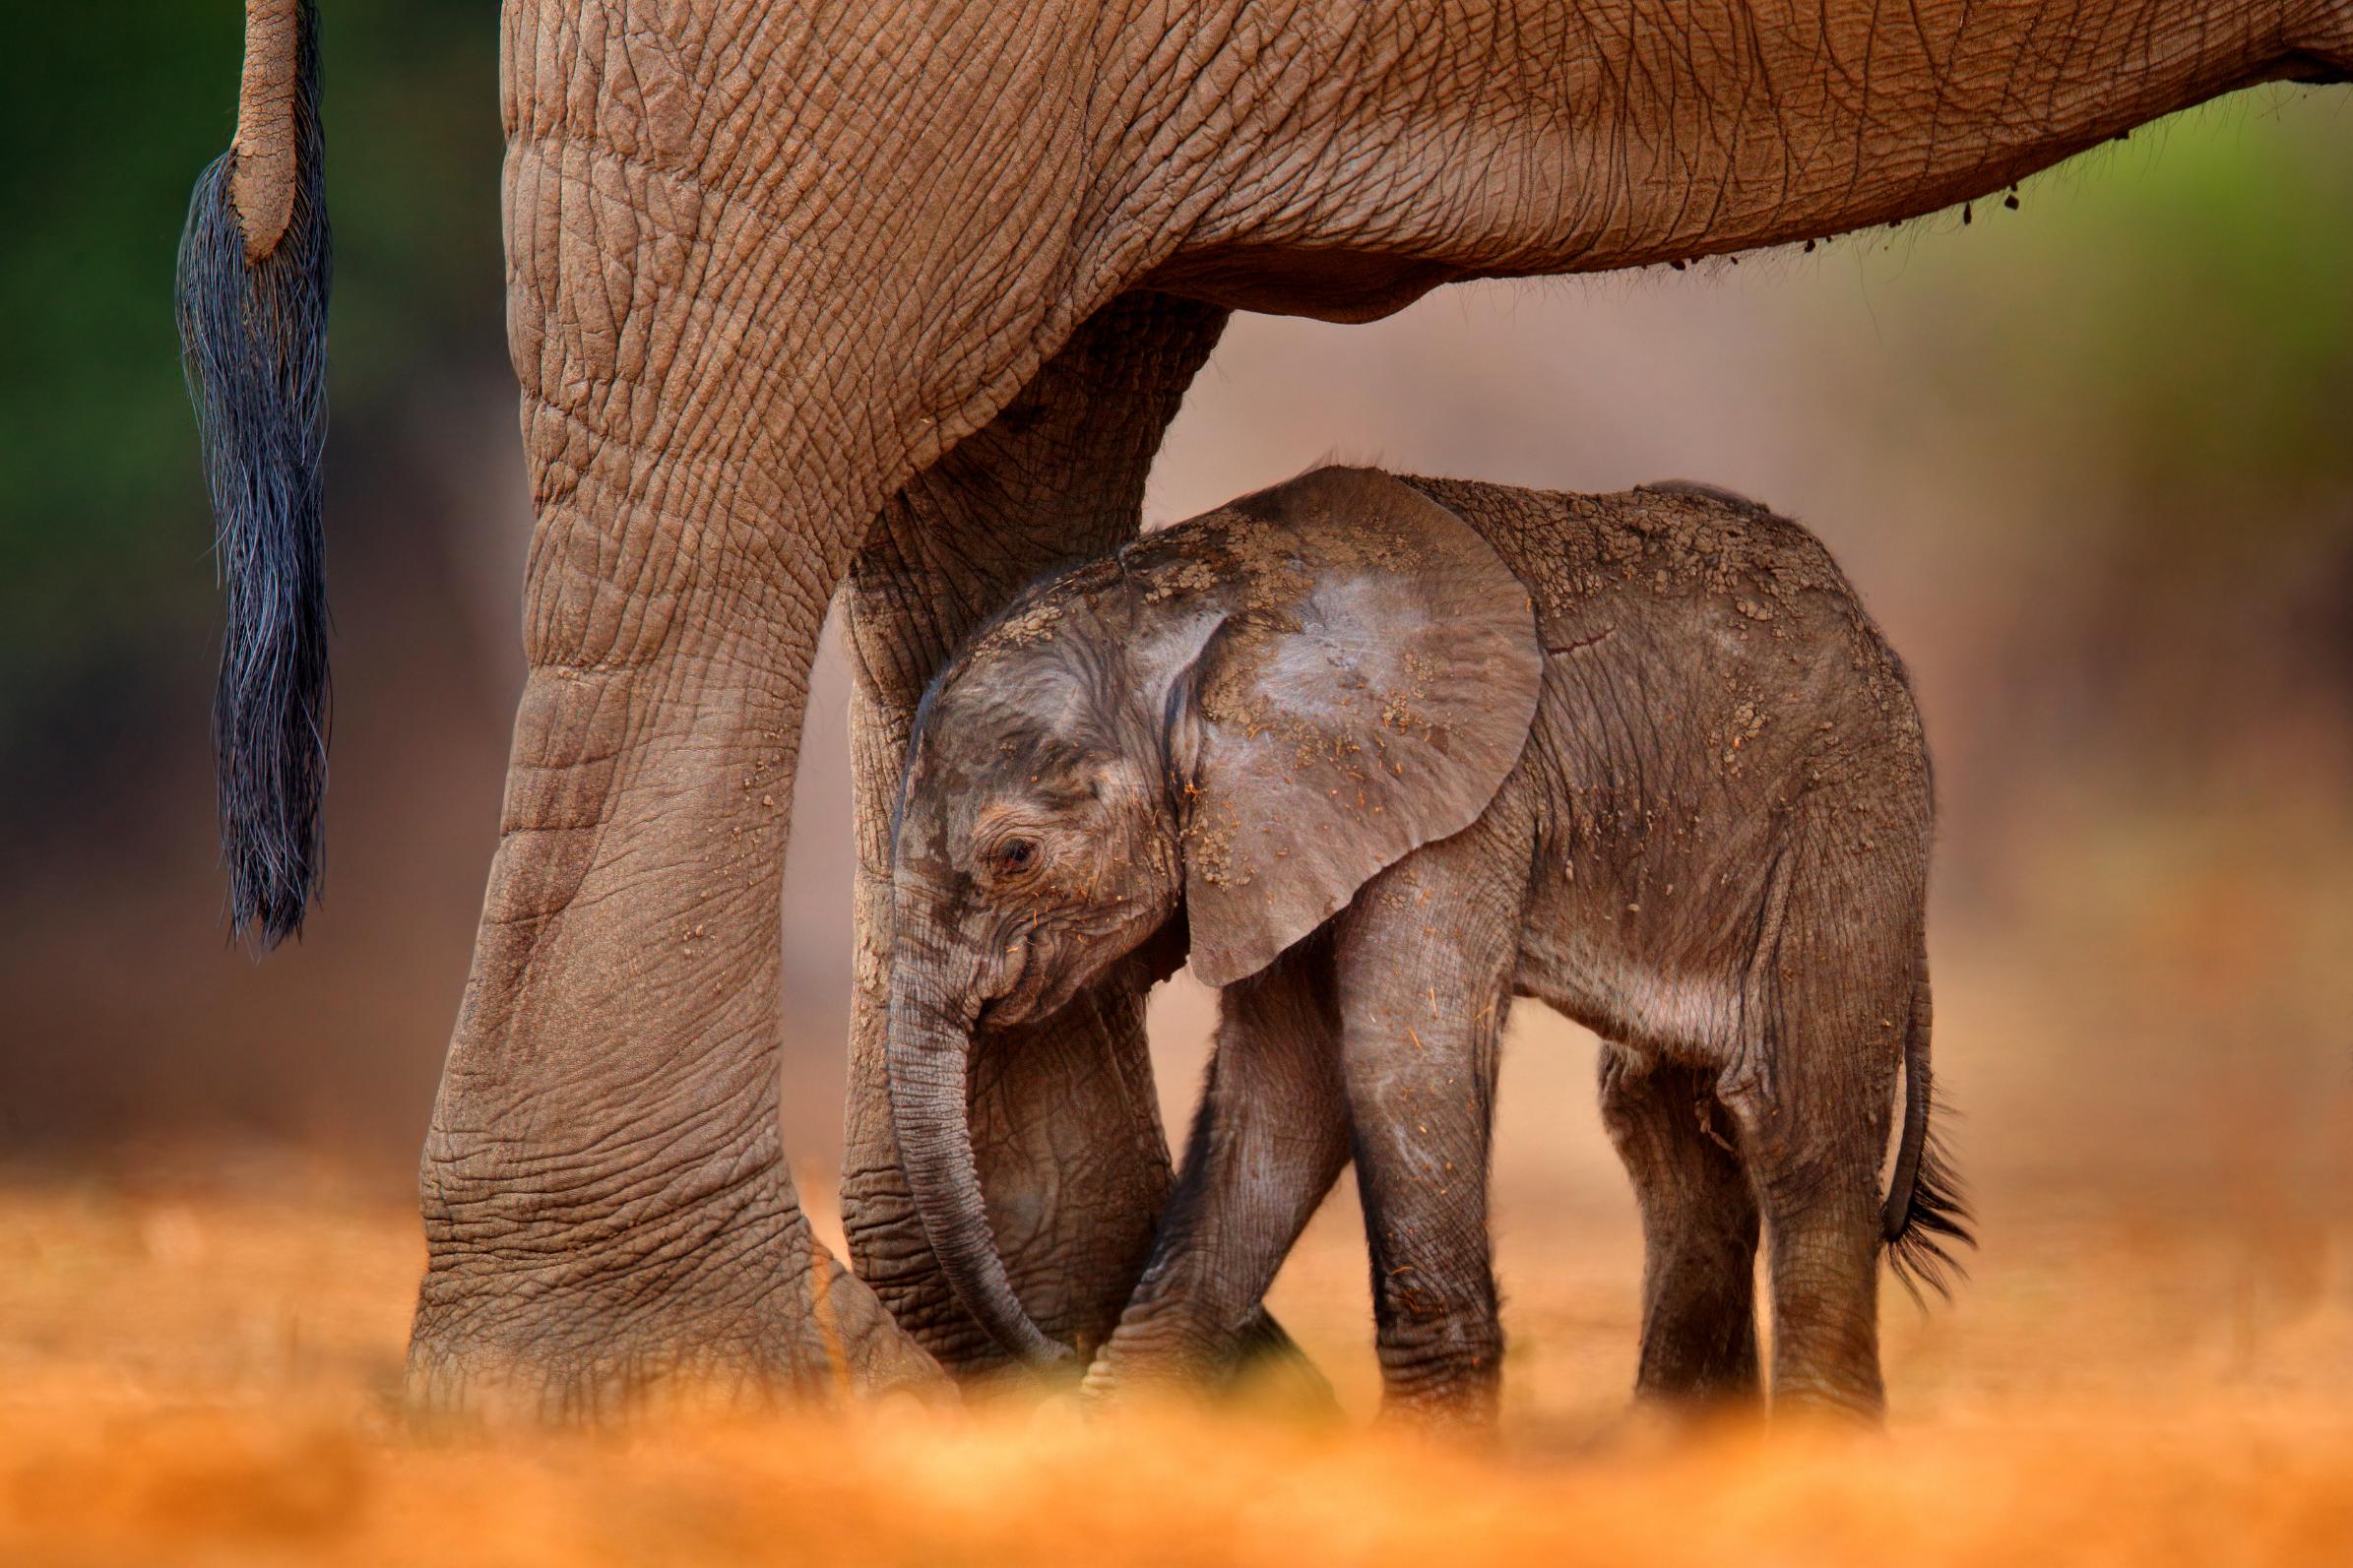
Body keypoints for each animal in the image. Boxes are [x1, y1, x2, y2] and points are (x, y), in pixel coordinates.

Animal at [881, 466, 1966, 1422]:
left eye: (1014, 855)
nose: (1046, 1352)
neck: (1197, 604)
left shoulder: (1456, 800)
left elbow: (1394, 1062)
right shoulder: (1276, 829)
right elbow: (1282, 1092)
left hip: (1845, 811)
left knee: (1795, 1114)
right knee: (1660, 1120)